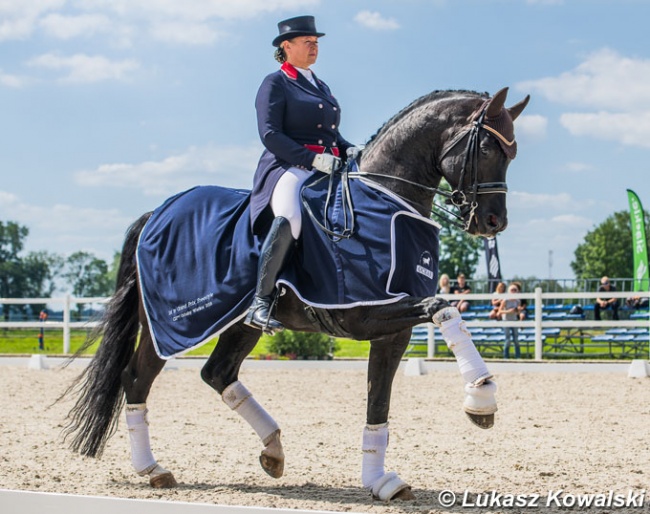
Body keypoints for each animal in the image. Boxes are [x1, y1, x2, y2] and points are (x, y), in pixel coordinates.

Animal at [60, 86, 528, 498]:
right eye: (489, 148)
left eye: (513, 154)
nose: (493, 222)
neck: (386, 202)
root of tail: (156, 213)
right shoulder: (364, 315)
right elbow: (444, 308)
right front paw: (482, 397)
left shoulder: (391, 333)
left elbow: (379, 403)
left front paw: (380, 482)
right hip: (170, 324)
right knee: (137, 379)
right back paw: (153, 469)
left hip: (239, 322)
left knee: (217, 373)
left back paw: (273, 449)